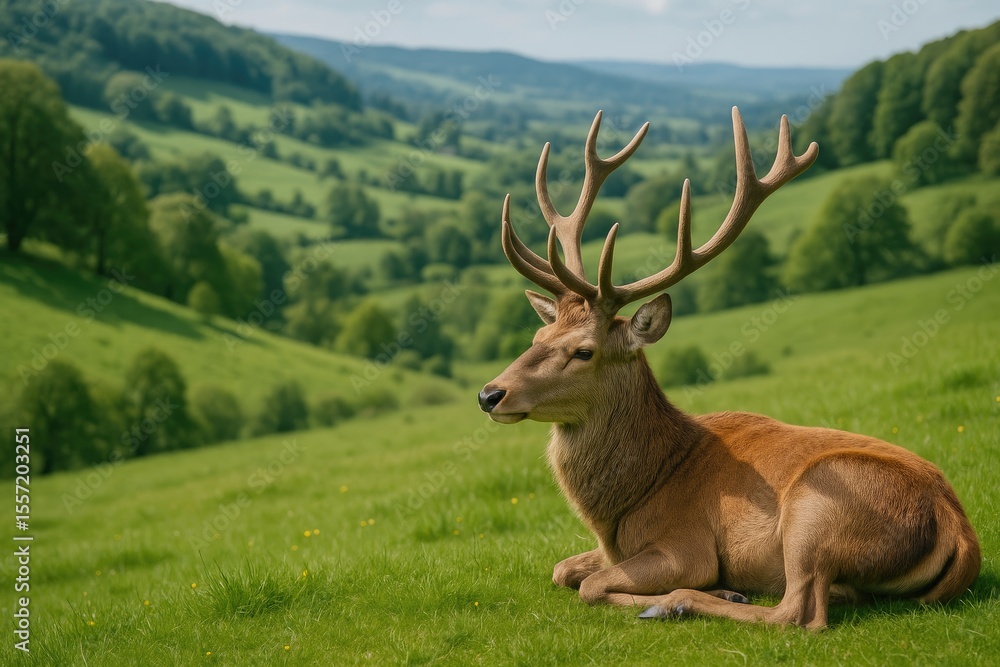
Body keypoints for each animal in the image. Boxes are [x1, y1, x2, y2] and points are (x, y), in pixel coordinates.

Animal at [477, 108, 980, 629]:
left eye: (583, 351)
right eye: (537, 340)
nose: (490, 394)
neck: (629, 505)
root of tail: (961, 532)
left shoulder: (687, 545)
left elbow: (590, 586)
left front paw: (699, 590)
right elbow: (562, 569)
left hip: (818, 505)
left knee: (799, 613)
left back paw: (686, 601)